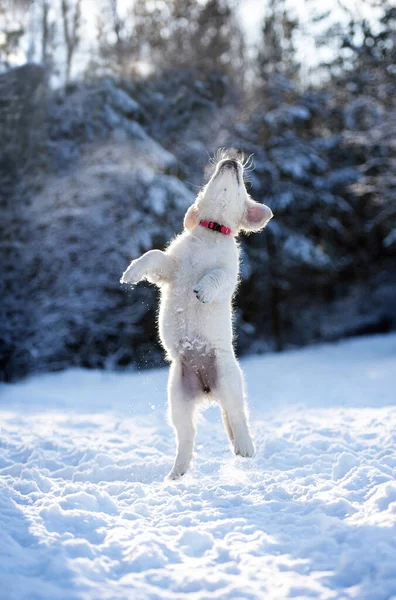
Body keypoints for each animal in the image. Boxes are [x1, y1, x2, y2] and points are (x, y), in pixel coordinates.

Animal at [120, 154, 272, 478]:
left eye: (242, 184)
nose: (232, 160)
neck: (211, 233)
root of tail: (206, 389)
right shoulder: (169, 269)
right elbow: (153, 255)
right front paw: (132, 271)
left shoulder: (228, 275)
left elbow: (215, 276)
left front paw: (201, 290)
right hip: (177, 399)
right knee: (186, 436)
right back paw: (176, 474)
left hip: (228, 380)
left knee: (237, 418)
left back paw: (245, 449)